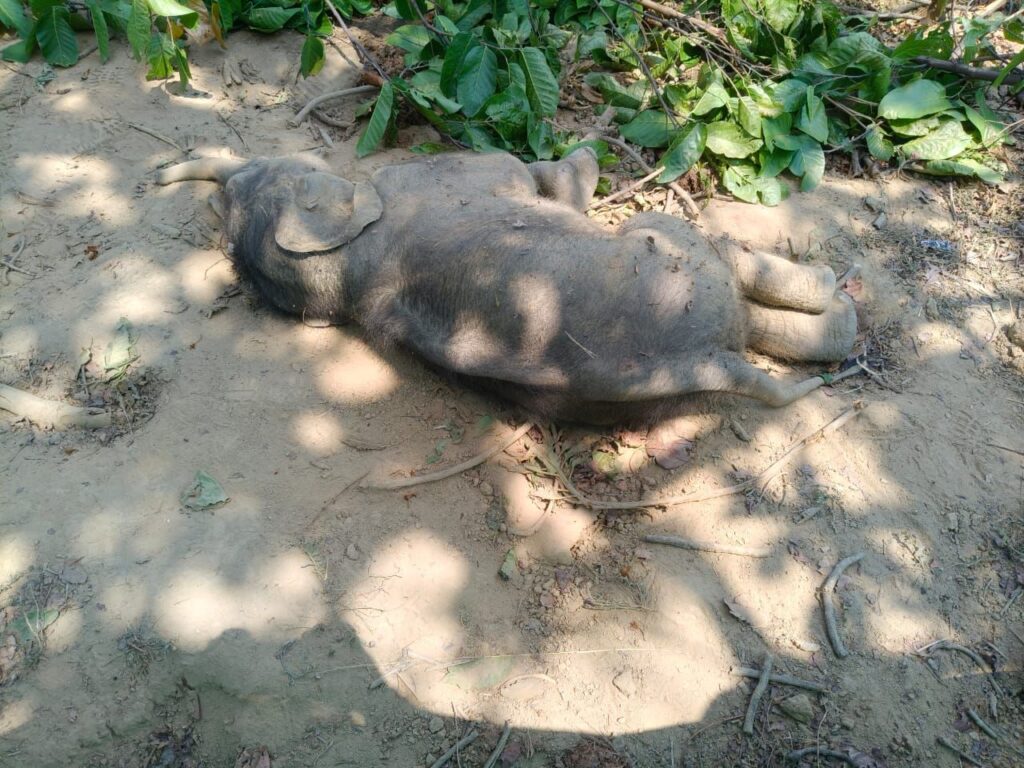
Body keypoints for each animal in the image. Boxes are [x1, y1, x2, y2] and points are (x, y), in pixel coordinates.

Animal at [157, 148, 857, 426]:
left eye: (261, 173)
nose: (167, 174)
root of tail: (709, 358)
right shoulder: (467, 168)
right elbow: (549, 177)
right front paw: (587, 156)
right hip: (679, 260)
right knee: (725, 259)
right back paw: (842, 301)